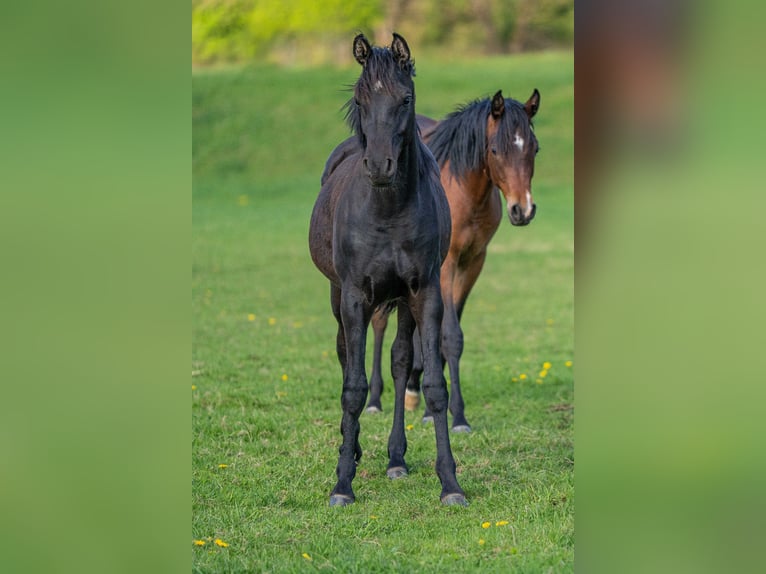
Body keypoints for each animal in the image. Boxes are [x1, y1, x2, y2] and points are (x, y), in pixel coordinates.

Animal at [308, 33, 466, 507]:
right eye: (360, 99)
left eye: (405, 98)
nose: (379, 167)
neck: (388, 210)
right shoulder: (355, 297)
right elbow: (354, 387)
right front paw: (342, 483)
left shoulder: (425, 293)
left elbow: (431, 385)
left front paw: (450, 483)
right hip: (338, 297)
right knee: (346, 357)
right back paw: (356, 448)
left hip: (401, 302)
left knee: (398, 362)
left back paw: (396, 458)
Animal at [365, 88, 541, 433]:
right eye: (495, 150)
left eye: (535, 149)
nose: (522, 210)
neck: (463, 194)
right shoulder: (445, 266)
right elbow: (447, 334)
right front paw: (455, 415)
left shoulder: (473, 263)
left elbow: (448, 332)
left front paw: (433, 406)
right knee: (379, 321)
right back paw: (375, 399)